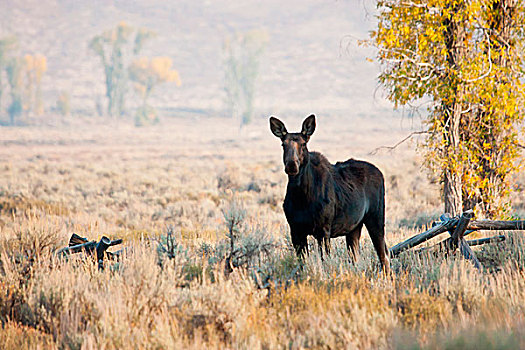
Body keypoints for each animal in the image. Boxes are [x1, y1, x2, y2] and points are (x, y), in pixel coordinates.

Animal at [270, 115, 388, 274]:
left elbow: (325, 262)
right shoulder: (295, 230)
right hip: (354, 227)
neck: (301, 197)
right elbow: (302, 264)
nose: (291, 165)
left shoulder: (323, 230)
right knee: (356, 257)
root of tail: (380, 173)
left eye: (303, 144)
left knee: (384, 255)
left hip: (376, 217)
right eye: (283, 144)